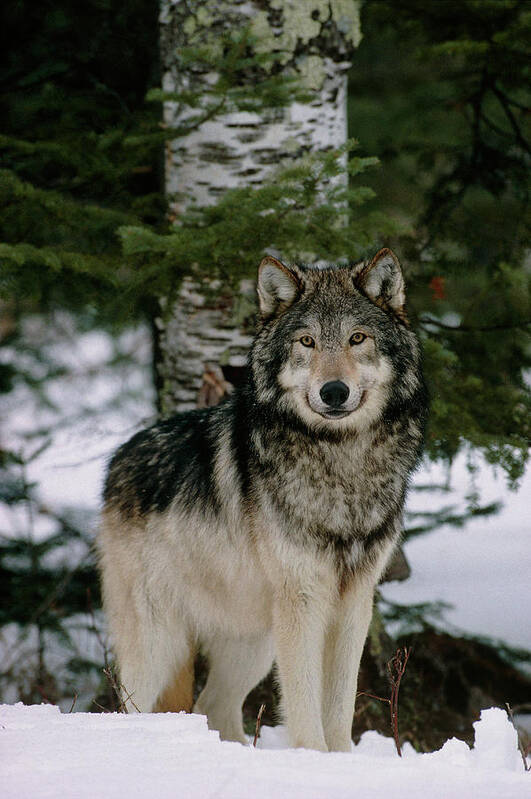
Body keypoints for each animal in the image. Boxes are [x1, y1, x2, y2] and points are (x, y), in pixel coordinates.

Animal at [96, 247, 428, 752]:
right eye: (307, 341)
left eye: (357, 338)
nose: (334, 391)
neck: (341, 460)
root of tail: (118, 462)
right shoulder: (303, 599)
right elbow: (305, 708)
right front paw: (314, 759)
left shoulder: (355, 601)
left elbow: (340, 703)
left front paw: (344, 759)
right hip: (159, 642)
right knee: (130, 708)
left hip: (253, 642)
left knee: (211, 705)